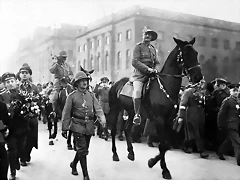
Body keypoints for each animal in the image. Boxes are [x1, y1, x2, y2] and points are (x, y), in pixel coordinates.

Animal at [109, 37, 202, 179]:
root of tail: (116, 83)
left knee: (127, 129)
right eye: (185, 54)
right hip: (115, 109)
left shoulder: (169, 120)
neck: (165, 87)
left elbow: (167, 144)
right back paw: (115, 154)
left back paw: (131, 153)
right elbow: (163, 145)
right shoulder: (159, 120)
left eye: (196, 53)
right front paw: (164, 169)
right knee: (114, 130)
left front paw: (152, 162)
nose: (198, 77)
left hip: (132, 112)